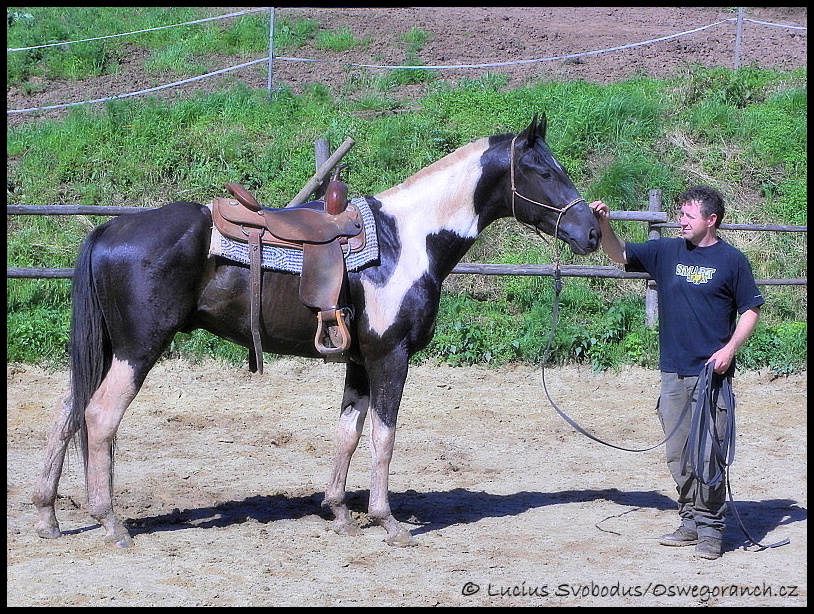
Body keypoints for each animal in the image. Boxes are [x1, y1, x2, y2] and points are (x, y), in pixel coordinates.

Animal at [31, 114, 604, 548]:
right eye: (542, 170)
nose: (593, 231)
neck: (407, 240)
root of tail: (110, 228)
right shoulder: (391, 357)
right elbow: (383, 437)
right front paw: (388, 521)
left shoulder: (360, 361)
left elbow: (348, 434)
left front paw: (340, 513)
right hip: (137, 349)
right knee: (99, 417)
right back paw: (111, 523)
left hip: (107, 348)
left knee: (66, 413)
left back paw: (47, 517)